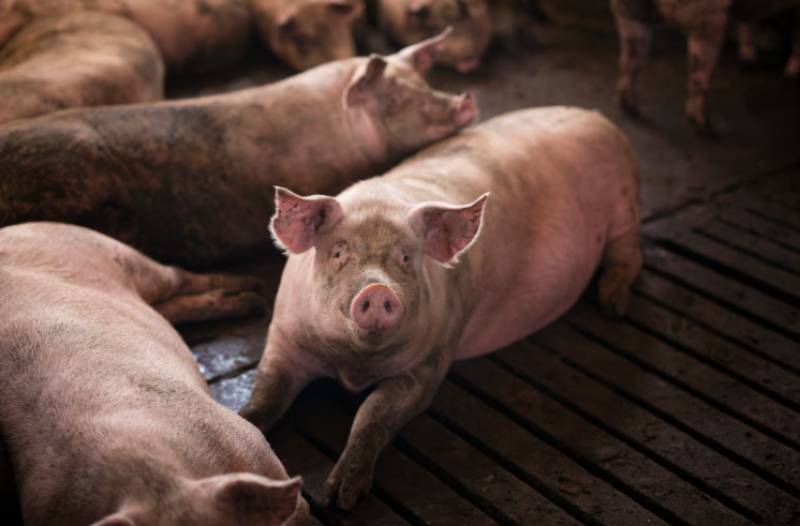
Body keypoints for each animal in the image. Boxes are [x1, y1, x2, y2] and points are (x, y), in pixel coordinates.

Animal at [0, 222, 310, 526]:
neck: (158, 481)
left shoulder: (250, 443)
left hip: (119, 254)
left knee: (178, 275)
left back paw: (254, 293)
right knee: (170, 306)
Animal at [240, 106, 642, 509]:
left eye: (406, 257)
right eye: (339, 252)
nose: (377, 290)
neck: (352, 367)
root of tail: (596, 117)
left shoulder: (431, 360)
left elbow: (372, 413)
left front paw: (341, 498)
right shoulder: (283, 337)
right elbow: (267, 391)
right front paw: (243, 421)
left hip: (625, 204)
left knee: (628, 255)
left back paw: (614, 306)